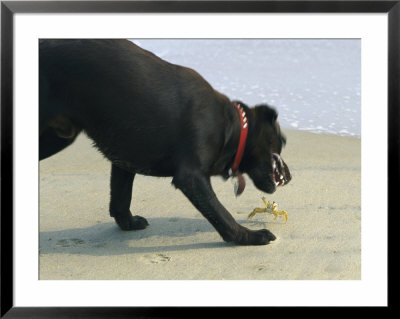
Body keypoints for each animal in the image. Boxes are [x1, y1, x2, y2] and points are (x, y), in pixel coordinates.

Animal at [39, 39, 290, 245]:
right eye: (283, 141)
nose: (289, 177)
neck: (232, 127)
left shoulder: (124, 159)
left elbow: (121, 198)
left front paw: (128, 223)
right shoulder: (191, 177)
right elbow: (222, 214)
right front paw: (249, 236)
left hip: (56, 137)